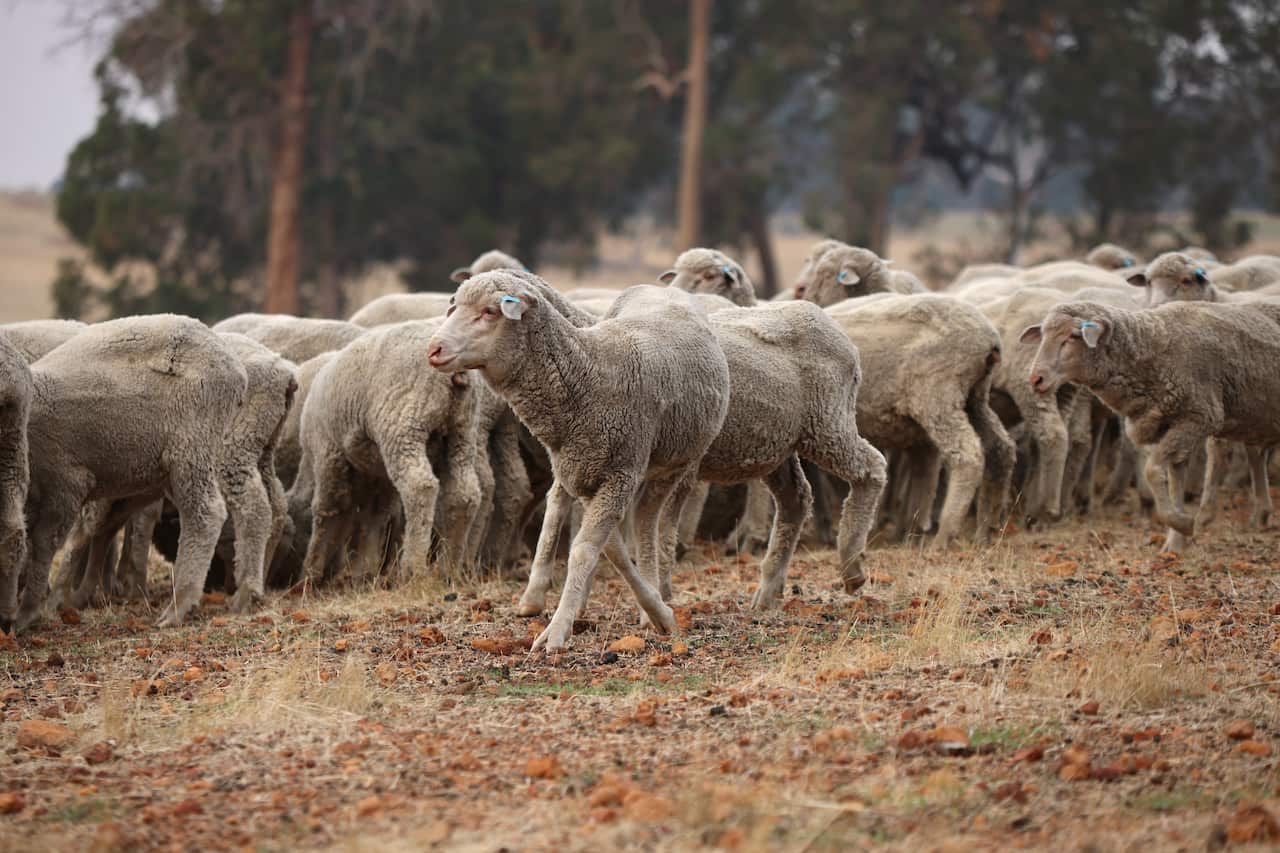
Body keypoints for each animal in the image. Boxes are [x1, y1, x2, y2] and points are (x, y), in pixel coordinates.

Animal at [2, 315, 247, 632]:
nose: (4, 622)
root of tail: (234, 366)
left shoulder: (65, 482)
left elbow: (44, 543)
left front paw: (28, 613)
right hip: (150, 475)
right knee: (108, 526)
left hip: (191, 448)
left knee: (205, 514)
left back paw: (178, 605)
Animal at [293, 319, 482, 588]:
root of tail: (455, 374)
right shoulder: (376, 472)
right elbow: (374, 515)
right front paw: (364, 570)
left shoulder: (328, 454)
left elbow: (329, 509)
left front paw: (309, 574)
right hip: (462, 432)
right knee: (465, 493)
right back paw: (449, 570)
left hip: (403, 426)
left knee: (420, 486)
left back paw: (413, 569)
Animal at [426, 272, 732, 652]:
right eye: (454, 306)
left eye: (489, 312)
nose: (433, 349)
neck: (590, 375)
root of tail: (663, 289)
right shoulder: (589, 474)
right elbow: (609, 549)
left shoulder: (620, 474)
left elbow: (586, 551)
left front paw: (558, 631)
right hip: (581, 466)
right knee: (559, 501)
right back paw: (539, 595)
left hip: (670, 466)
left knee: (647, 525)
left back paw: (650, 601)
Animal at [1023, 300, 1280, 551]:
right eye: (1043, 335)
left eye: (1072, 336)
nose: (1035, 379)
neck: (1153, 345)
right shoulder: (1172, 425)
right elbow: (1175, 484)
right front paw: (1175, 543)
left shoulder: (1198, 417)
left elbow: (1152, 471)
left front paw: (1184, 523)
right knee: (1248, 454)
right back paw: (1258, 514)